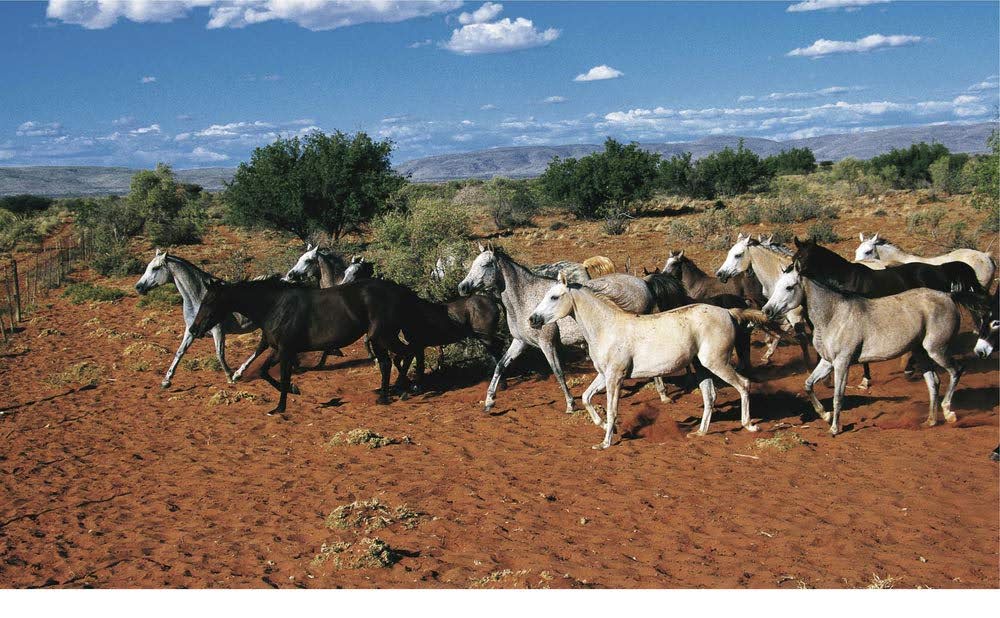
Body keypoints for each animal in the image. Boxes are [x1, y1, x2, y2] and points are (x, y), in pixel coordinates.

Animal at [134, 250, 259, 388]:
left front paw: (229, 377)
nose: (138, 287)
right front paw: (166, 381)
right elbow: (180, 351)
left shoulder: (218, 330)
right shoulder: (190, 330)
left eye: (155, 268)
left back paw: (237, 374)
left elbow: (219, 353)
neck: (199, 297)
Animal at [189, 278, 418, 416]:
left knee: (406, 354)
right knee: (388, 362)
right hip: (378, 339)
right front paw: (294, 390)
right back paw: (386, 396)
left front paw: (279, 407)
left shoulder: (286, 350)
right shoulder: (278, 350)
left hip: (383, 336)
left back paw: (404, 389)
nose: (193, 329)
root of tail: (400, 291)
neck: (275, 306)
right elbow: (264, 372)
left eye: (209, 301)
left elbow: (283, 376)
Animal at [529, 272, 764, 449]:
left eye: (554, 297)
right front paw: (604, 426)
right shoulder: (604, 375)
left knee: (743, 384)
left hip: (717, 362)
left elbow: (612, 409)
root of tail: (729, 313)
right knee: (710, 396)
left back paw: (749, 425)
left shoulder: (615, 377)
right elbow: (586, 398)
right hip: (702, 367)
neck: (607, 328)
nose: (532, 319)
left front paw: (605, 442)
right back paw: (699, 433)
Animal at [763, 261, 981, 435]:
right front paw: (825, 415)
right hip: (921, 353)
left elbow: (838, 396)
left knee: (956, 371)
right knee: (933, 382)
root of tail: (948, 296)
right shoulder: (827, 362)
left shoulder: (842, 363)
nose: (767, 310)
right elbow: (808, 385)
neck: (834, 316)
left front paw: (834, 428)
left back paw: (949, 413)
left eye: (789, 287)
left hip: (937, 349)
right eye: (776, 286)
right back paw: (930, 421)